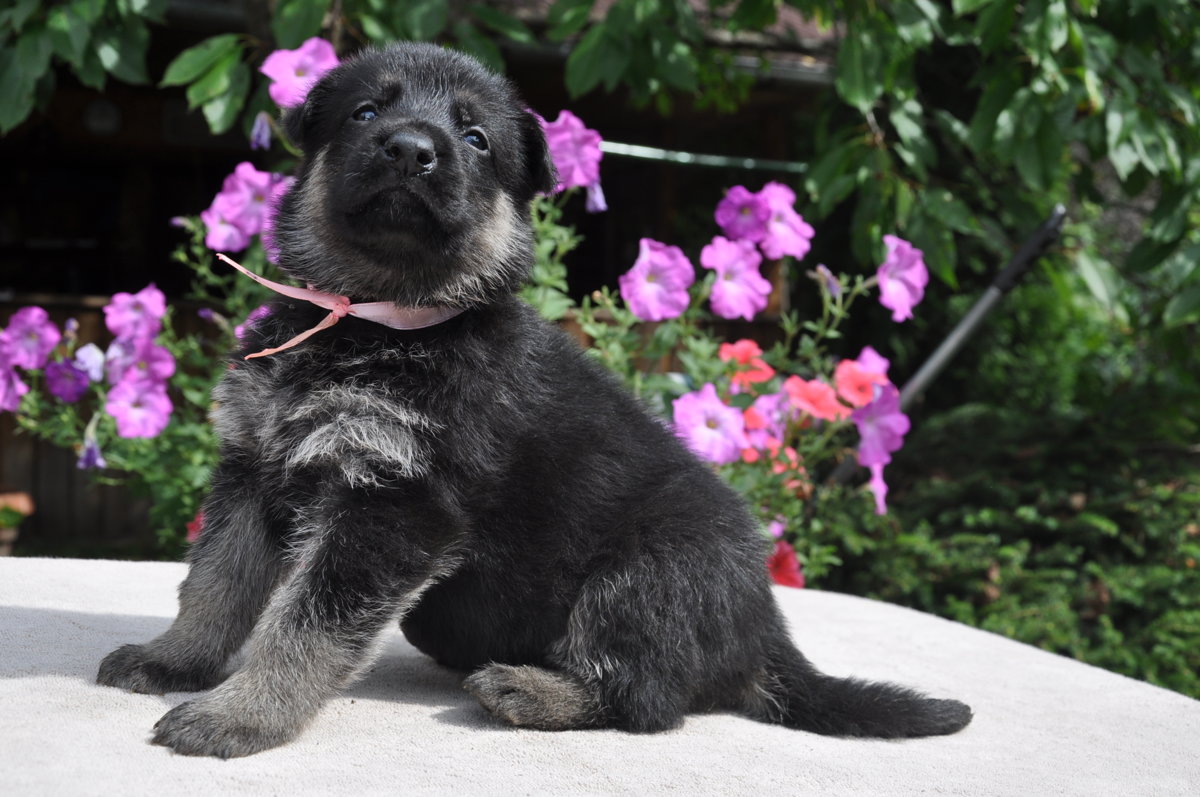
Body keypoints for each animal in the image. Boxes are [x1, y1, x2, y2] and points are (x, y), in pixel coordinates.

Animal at [98, 40, 969, 758]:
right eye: (367, 111)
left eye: (476, 138)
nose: (410, 149)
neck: (376, 317)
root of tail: (765, 626)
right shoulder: (253, 471)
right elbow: (215, 584)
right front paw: (175, 659)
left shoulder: (393, 504)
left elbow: (303, 622)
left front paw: (243, 714)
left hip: (646, 573)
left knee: (650, 698)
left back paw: (531, 688)